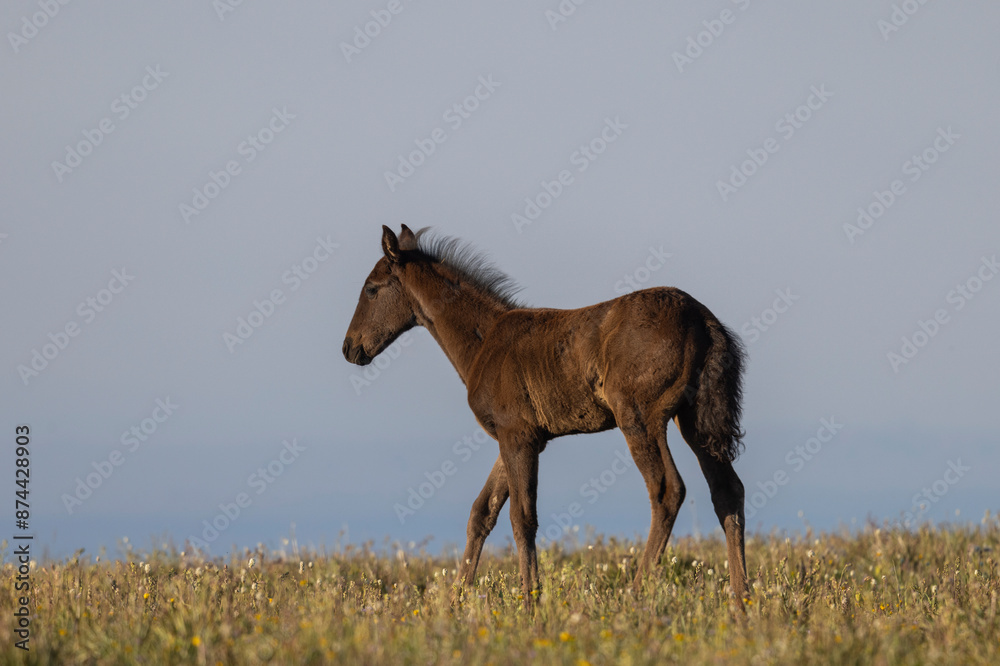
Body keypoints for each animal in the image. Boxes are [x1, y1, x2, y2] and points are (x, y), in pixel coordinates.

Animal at [343, 225, 749, 610]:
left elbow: (522, 518)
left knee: (667, 491)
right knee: (727, 491)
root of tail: (703, 319)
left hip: (639, 418)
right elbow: (482, 513)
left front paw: (530, 605)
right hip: (694, 420)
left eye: (372, 289)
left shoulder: (516, 434)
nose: (350, 348)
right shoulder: (520, 437)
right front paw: (456, 603)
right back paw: (741, 601)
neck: (484, 342)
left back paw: (635, 596)